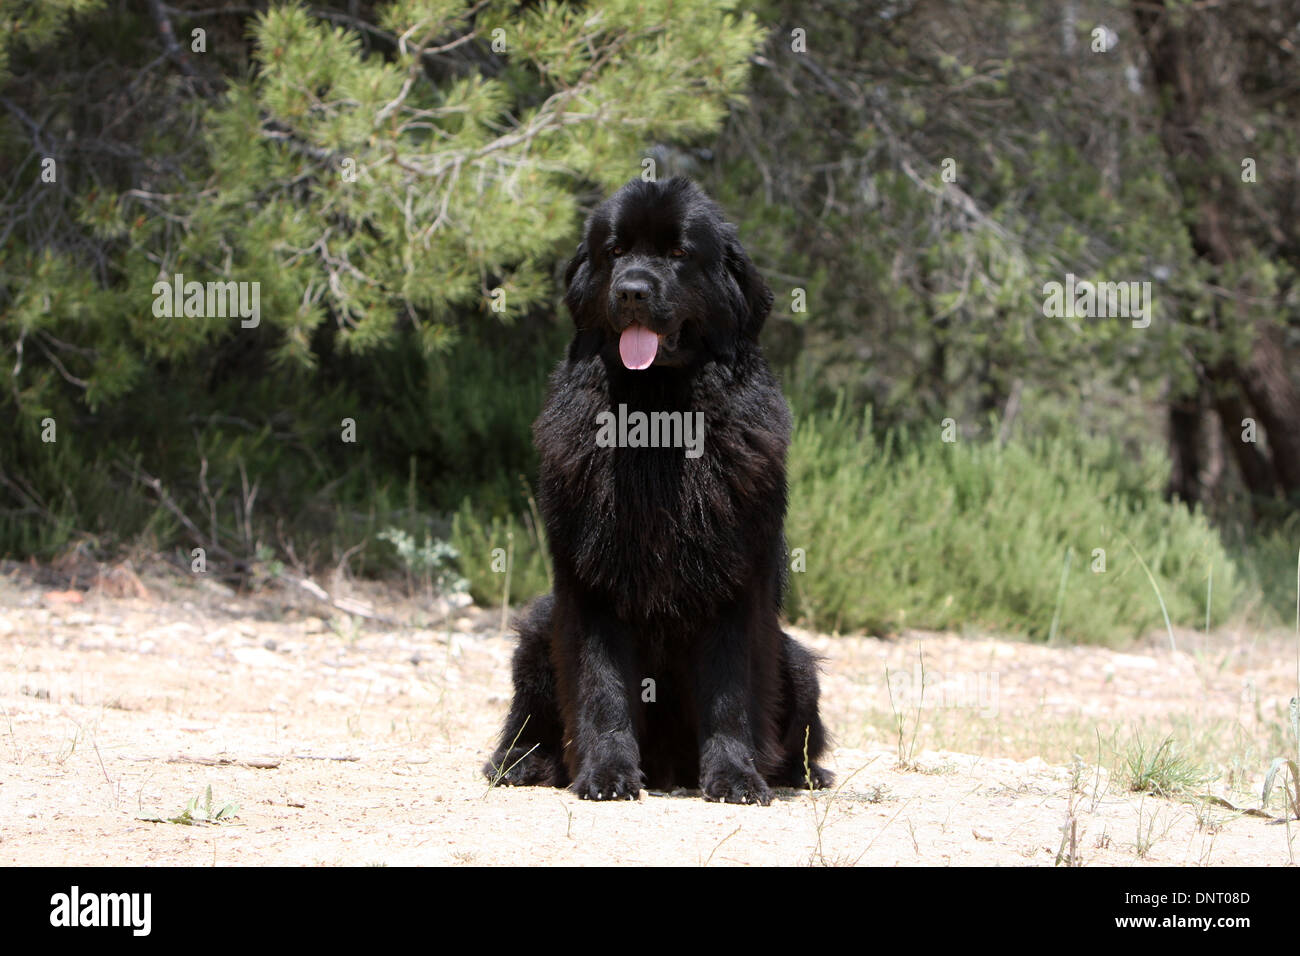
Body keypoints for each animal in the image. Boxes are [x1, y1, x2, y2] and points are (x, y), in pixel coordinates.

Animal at [486, 175, 832, 806]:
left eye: (678, 253)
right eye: (616, 251)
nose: (632, 291)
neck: (657, 418)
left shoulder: (736, 584)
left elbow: (729, 693)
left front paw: (736, 777)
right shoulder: (589, 585)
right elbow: (601, 688)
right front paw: (606, 775)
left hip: (797, 661)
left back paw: (798, 774)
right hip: (536, 633)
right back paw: (522, 764)